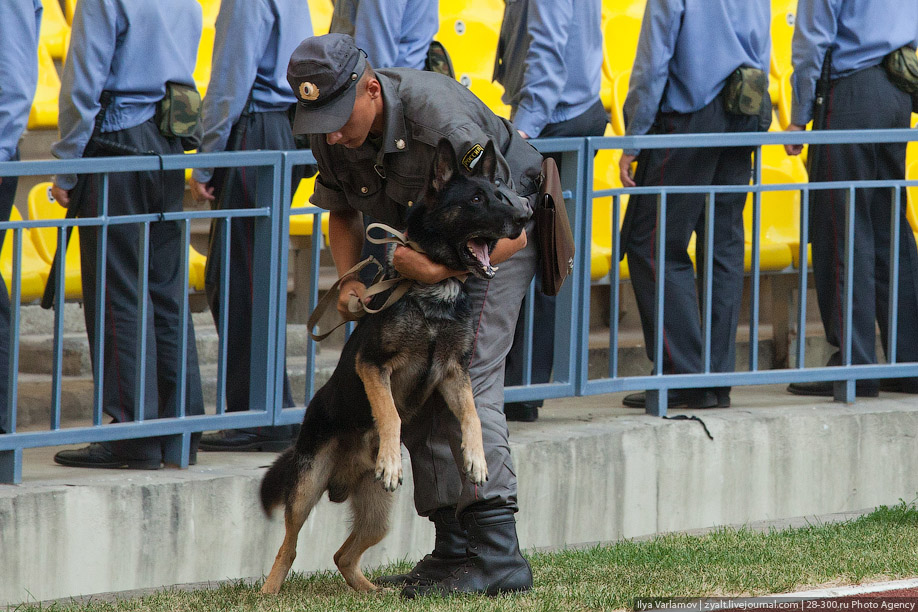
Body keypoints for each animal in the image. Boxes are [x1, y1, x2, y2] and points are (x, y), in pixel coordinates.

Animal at [258, 140, 532, 592]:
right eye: (476, 199)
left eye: (499, 193)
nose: (524, 218)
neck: (434, 290)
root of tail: (342, 479)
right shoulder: (374, 365)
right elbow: (389, 413)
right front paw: (390, 457)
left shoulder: (454, 372)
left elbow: (473, 415)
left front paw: (476, 458)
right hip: (305, 490)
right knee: (289, 546)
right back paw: (269, 591)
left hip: (377, 516)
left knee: (342, 555)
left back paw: (374, 592)